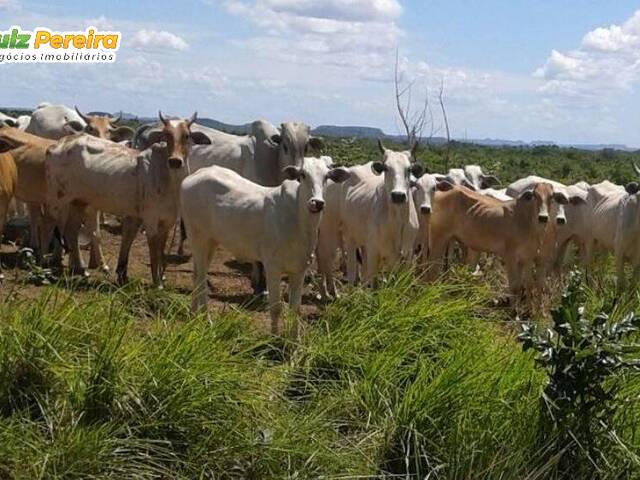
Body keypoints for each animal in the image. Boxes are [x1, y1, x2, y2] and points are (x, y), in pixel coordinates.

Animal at [45, 111, 210, 284]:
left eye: (187, 135)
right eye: (166, 135)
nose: (175, 161)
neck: (169, 180)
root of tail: (57, 144)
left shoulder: (168, 220)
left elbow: (160, 248)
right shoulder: (150, 219)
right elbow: (153, 248)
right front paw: (157, 282)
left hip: (79, 202)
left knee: (71, 230)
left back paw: (80, 269)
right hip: (57, 200)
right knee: (50, 225)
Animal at [180, 158, 350, 334]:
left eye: (327, 176)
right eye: (302, 175)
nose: (317, 203)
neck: (299, 221)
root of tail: (195, 175)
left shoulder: (299, 269)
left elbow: (295, 309)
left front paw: (295, 340)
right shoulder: (272, 267)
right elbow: (276, 308)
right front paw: (274, 337)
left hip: (211, 242)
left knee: (197, 274)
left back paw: (194, 315)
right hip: (197, 238)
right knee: (201, 278)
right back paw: (205, 318)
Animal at [428, 182, 568, 298]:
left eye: (552, 197)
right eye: (535, 195)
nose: (543, 217)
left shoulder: (527, 259)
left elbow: (527, 286)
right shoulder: (510, 256)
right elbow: (515, 287)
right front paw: (513, 312)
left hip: (453, 240)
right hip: (438, 237)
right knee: (432, 268)